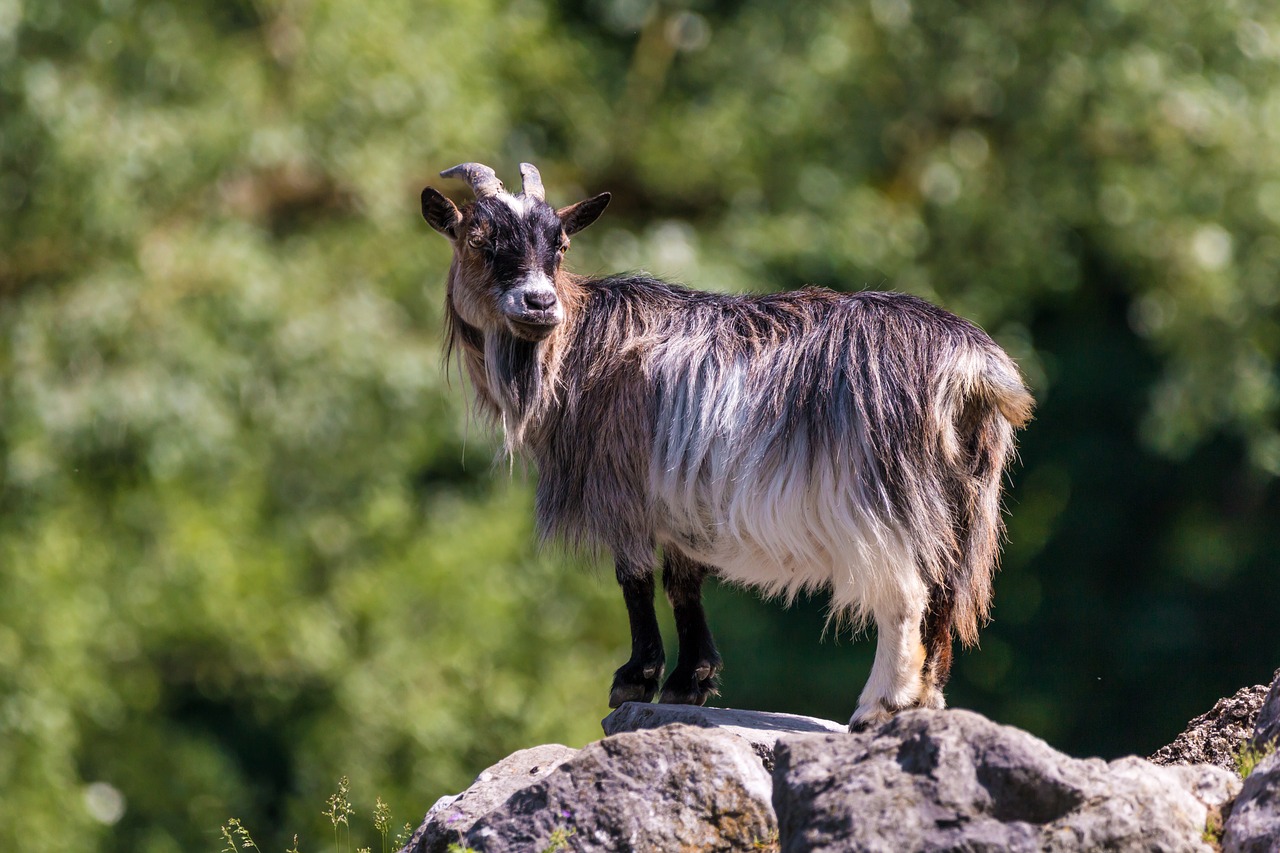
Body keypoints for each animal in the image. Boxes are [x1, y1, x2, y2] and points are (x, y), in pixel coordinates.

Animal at [424, 162, 1034, 727]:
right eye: (477, 239)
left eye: (561, 244)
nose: (539, 304)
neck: (583, 346)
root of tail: (972, 367)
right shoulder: (679, 498)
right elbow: (683, 581)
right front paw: (688, 683)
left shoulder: (623, 486)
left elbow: (636, 578)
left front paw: (635, 680)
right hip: (963, 498)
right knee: (945, 588)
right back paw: (924, 703)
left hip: (880, 495)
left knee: (907, 591)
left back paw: (878, 705)